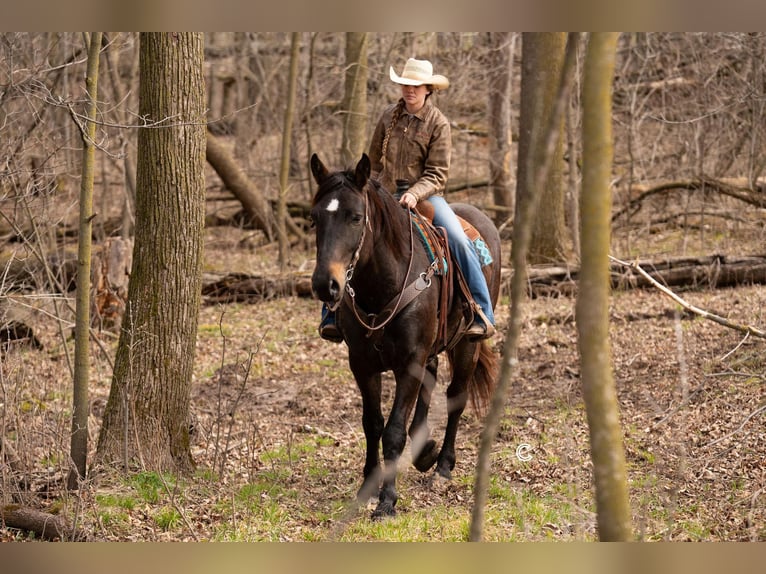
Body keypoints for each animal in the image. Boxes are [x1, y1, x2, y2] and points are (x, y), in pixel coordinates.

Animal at [308, 154, 500, 520]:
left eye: (355, 217)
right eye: (314, 218)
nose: (326, 285)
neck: (383, 282)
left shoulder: (408, 362)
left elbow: (394, 431)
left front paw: (387, 501)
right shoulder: (362, 364)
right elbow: (372, 423)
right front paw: (367, 490)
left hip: (466, 346)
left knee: (456, 398)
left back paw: (442, 467)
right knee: (431, 379)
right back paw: (424, 449)